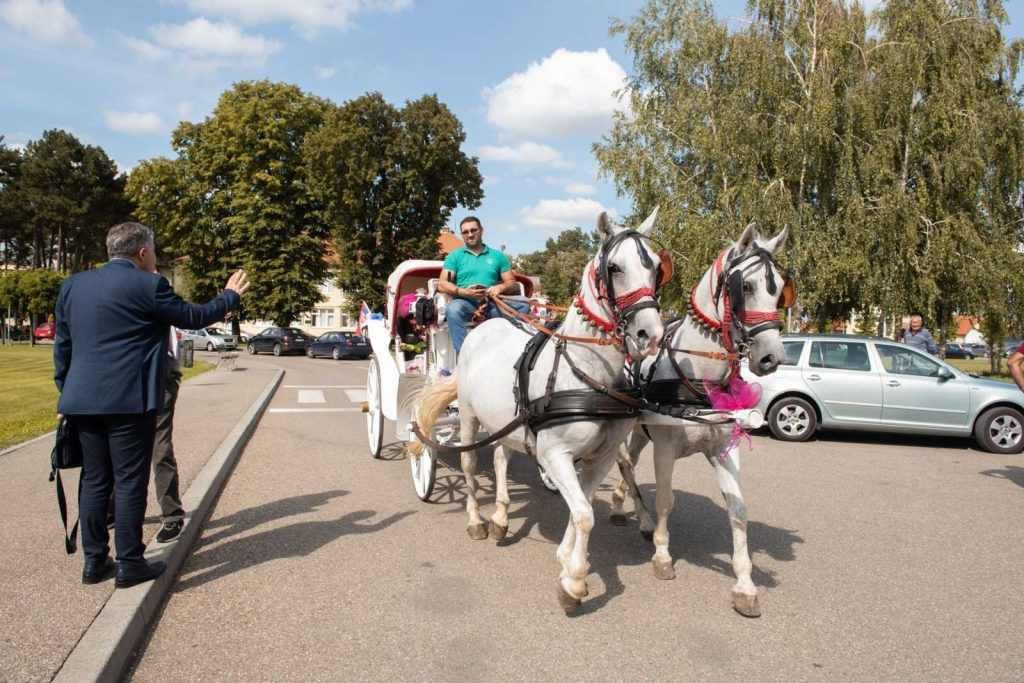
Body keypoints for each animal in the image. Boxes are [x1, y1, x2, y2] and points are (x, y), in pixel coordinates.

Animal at [411, 206, 667, 610]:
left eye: (657, 267)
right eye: (614, 267)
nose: (650, 335)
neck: (587, 371)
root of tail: (485, 324)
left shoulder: (602, 456)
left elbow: (583, 507)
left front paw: (566, 559)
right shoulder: (556, 453)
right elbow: (584, 514)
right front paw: (574, 582)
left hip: (504, 420)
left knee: (500, 458)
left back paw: (501, 517)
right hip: (467, 413)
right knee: (468, 465)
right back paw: (477, 521)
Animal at [606, 225, 790, 618]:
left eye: (780, 288)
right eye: (745, 286)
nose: (772, 357)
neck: (700, 380)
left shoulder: (724, 448)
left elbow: (737, 509)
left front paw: (745, 584)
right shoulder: (664, 447)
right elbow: (666, 500)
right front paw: (662, 555)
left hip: (641, 430)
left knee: (629, 462)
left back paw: (622, 505)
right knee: (625, 462)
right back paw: (640, 517)